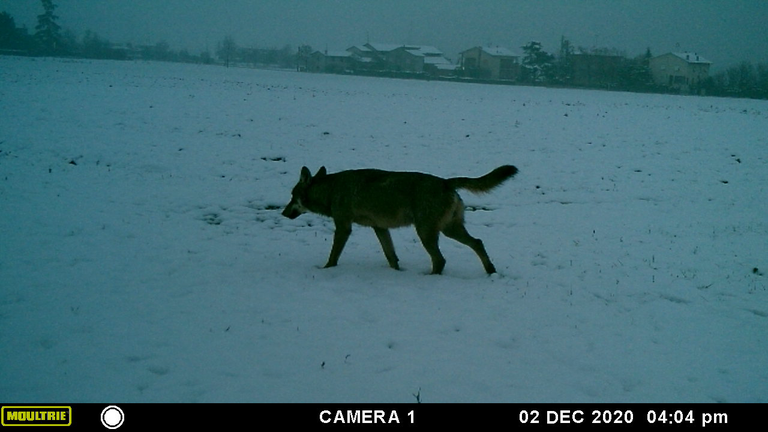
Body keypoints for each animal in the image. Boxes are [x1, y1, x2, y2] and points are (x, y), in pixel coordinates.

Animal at [282, 165, 516, 274]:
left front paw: (326, 270)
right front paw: (397, 273)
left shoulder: (343, 228)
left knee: (440, 259)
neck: (331, 191)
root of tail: (445, 182)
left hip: (426, 233)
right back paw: (490, 271)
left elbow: (333, 256)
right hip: (449, 230)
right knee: (477, 243)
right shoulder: (380, 229)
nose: (283, 213)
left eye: (292, 196)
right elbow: (391, 256)